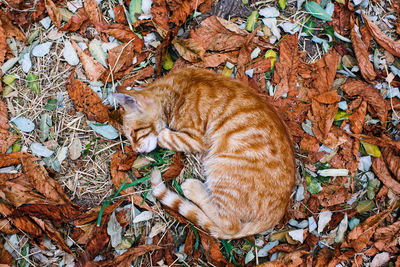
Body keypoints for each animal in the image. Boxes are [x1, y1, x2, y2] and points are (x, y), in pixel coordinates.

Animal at [114, 68, 296, 240]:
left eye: (134, 134)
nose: (135, 150)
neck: (176, 91)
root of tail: (277, 214)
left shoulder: (196, 138)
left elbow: (164, 136)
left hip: (221, 168)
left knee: (231, 225)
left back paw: (194, 188)